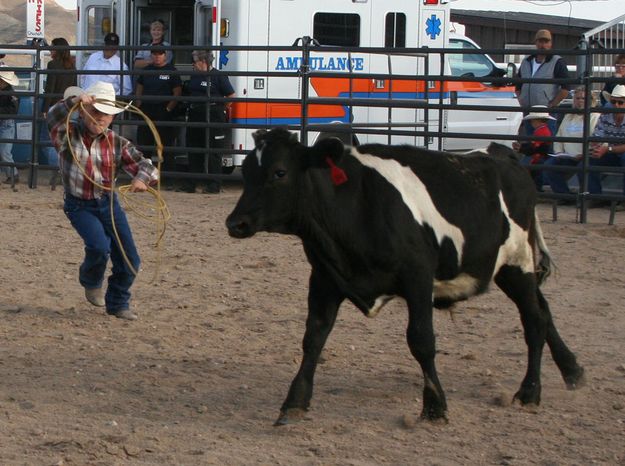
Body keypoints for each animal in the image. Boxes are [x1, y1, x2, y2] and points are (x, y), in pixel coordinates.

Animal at [225, 128, 584, 426]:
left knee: (534, 319)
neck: (358, 204)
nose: (235, 223)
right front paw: (294, 402)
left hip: (516, 262)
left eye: (279, 172)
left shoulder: (418, 278)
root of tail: (502, 153)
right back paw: (572, 369)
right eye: (248, 172)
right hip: (510, 270)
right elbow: (313, 338)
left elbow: (421, 341)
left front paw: (435, 407)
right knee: (544, 311)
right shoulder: (325, 279)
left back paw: (530, 392)